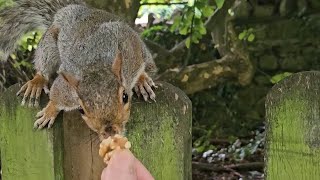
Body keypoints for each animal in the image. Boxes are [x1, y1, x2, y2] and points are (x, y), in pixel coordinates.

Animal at [0, 0, 158, 140]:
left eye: (125, 97)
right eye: (81, 110)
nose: (110, 132)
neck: (95, 64)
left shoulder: (129, 50)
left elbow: (137, 61)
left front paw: (141, 79)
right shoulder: (67, 86)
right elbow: (56, 96)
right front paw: (50, 111)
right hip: (49, 43)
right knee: (43, 65)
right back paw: (37, 81)